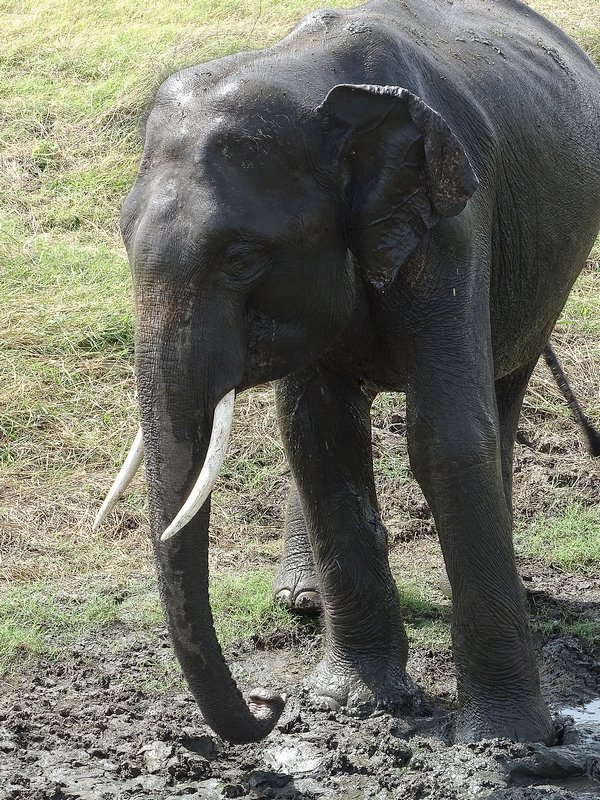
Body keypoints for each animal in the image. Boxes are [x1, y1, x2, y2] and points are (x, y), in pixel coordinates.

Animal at [95, 0, 600, 745]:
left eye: (242, 258)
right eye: (123, 241)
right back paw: (300, 601)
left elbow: (447, 436)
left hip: (546, 277)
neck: (310, 82)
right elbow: (317, 433)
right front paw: (350, 705)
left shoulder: (454, 225)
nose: (268, 705)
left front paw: (509, 740)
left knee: (503, 390)